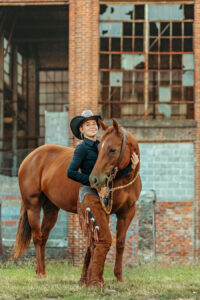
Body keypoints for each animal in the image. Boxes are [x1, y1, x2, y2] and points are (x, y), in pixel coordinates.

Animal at [13, 118, 141, 284]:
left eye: (112, 149)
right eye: (99, 148)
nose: (94, 179)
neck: (123, 180)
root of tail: (31, 157)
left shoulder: (127, 213)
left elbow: (119, 243)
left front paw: (119, 277)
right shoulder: (103, 213)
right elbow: (97, 242)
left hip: (51, 209)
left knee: (43, 237)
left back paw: (42, 272)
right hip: (32, 207)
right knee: (37, 237)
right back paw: (41, 273)